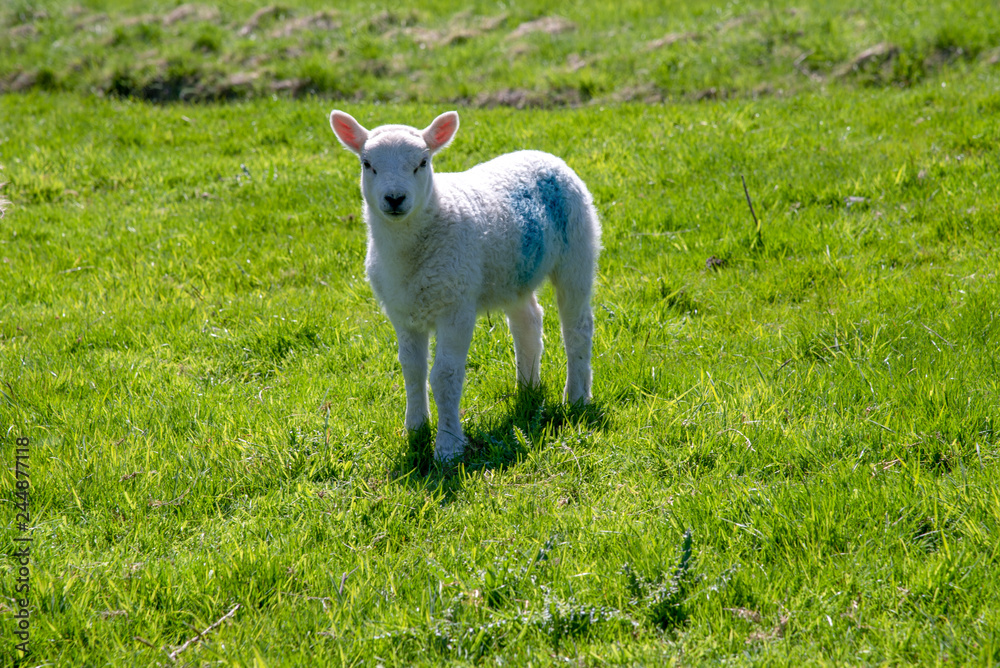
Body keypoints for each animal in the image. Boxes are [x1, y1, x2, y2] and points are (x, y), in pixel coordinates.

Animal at [330, 109, 601, 462]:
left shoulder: (456, 305)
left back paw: (577, 397)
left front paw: (448, 447)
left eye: (422, 162)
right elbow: (412, 369)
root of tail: (545, 157)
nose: (395, 198)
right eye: (367, 164)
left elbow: (444, 375)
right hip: (512, 270)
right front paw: (415, 430)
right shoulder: (403, 311)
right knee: (528, 320)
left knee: (578, 327)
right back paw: (528, 389)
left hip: (578, 248)